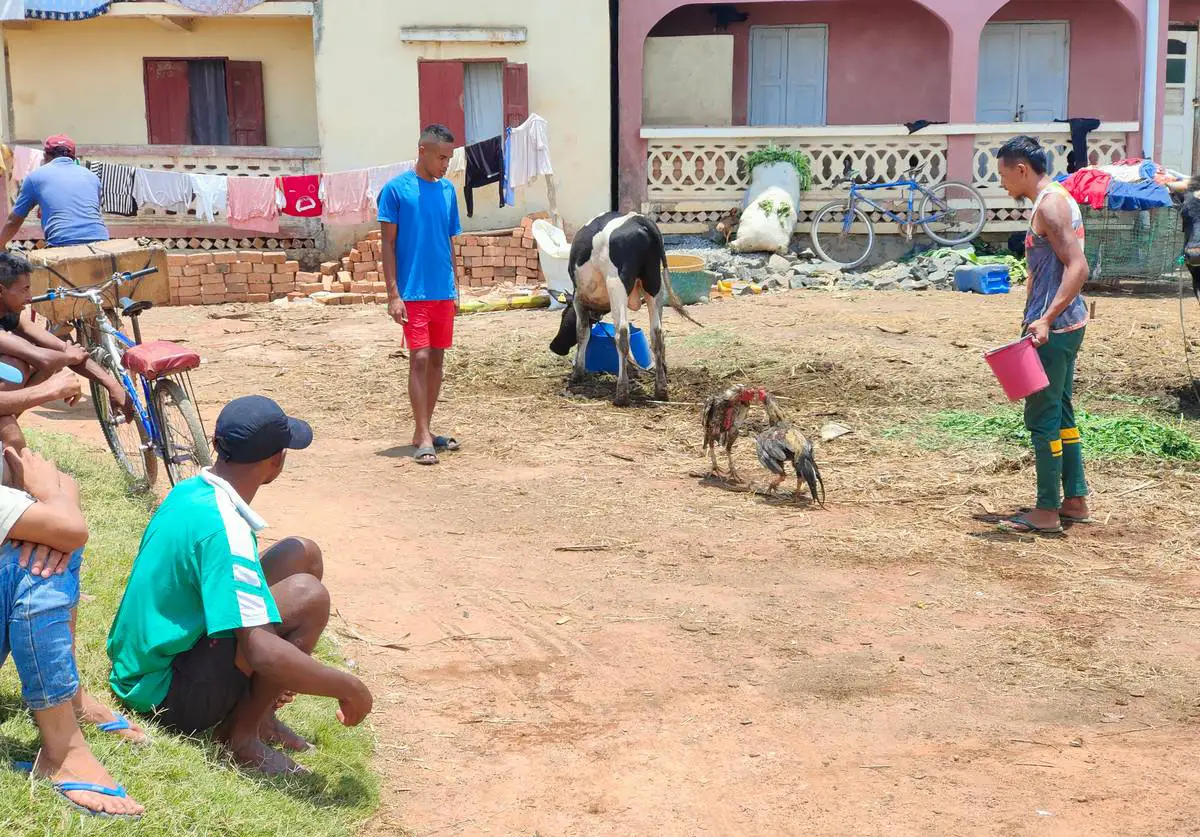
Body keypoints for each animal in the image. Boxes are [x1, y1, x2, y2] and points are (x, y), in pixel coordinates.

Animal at [549, 208, 700, 405]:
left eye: (563, 317)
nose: (555, 346)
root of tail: (639, 219)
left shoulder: (578, 300)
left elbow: (582, 332)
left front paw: (577, 373)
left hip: (616, 284)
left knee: (621, 334)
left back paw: (622, 393)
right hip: (654, 284)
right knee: (657, 334)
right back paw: (661, 389)